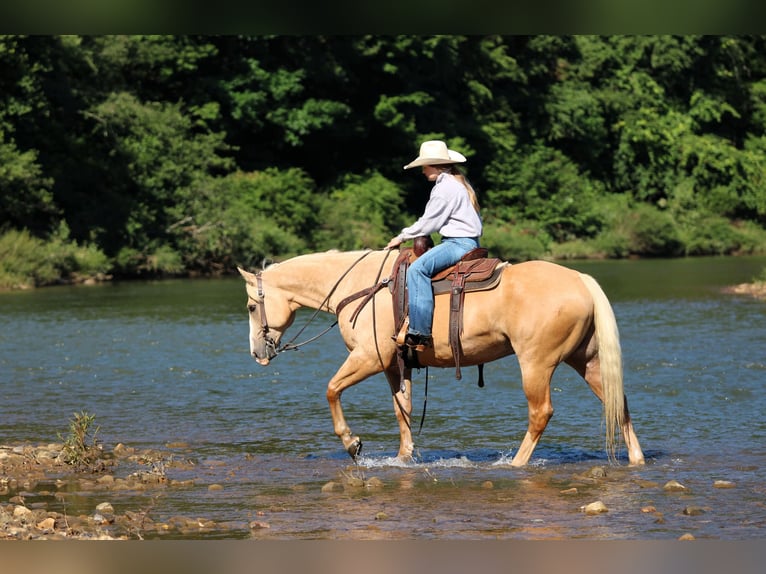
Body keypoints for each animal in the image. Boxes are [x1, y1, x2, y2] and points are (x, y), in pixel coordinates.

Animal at [237, 248, 645, 467]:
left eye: (251, 306)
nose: (257, 353)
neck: (362, 287)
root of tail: (580, 279)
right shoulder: (393, 365)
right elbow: (402, 409)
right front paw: (404, 458)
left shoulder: (370, 357)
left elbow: (332, 390)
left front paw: (352, 444)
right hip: (586, 360)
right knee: (617, 402)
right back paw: (637, 459)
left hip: (536, 363)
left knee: (540, 413)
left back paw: (514, 464)